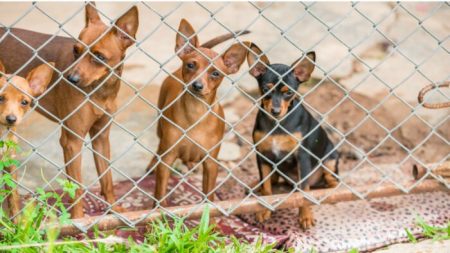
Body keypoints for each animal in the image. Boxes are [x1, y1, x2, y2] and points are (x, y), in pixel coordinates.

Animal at [0, 60, 54, 222]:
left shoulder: (10, 164)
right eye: (0, 98)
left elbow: (13, 199)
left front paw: (16, 223)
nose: (11, 119)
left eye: (24, 102)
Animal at [147, 19, 250, 209]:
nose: (197, 85)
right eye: (190, 65)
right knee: (159, 146)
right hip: (160, 124)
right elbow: (160, 191)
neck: (195, 112)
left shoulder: (211, 163)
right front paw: (160, 209)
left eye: (215, 73)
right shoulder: (167, 160)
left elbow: (208, 195)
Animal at [248, 44, 340, 230]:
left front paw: (305, 216)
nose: (275, 111)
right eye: (266, 90)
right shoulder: (262, 155)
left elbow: (304, 192)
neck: (277, 124)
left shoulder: (302, 156)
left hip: (330, 159)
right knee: (272, 179)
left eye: (288, 92)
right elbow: (267, 188)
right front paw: (264, 209)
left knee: (331, 180)